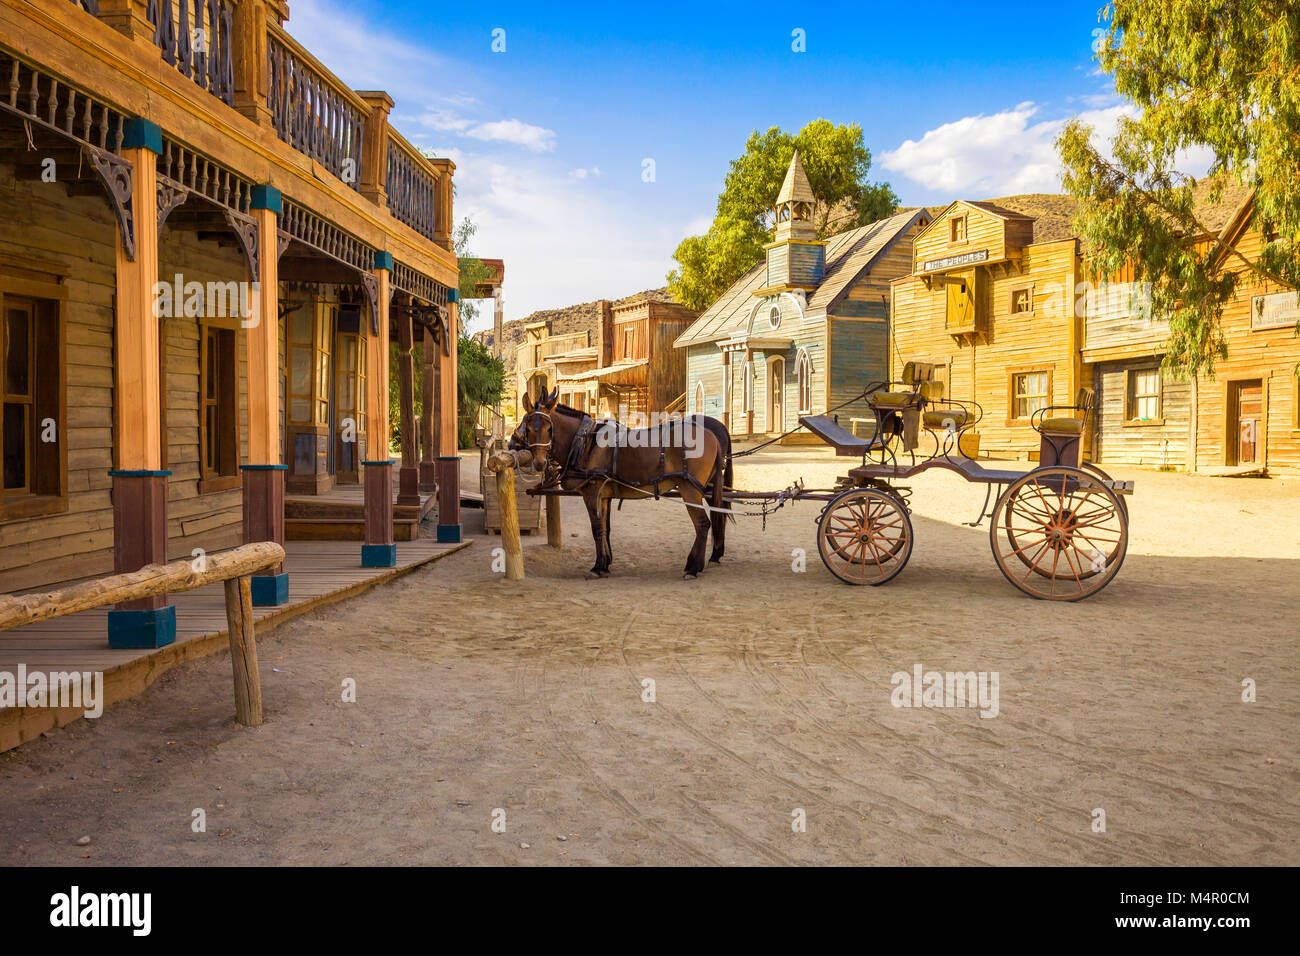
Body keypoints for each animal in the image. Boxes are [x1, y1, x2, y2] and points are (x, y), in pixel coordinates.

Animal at [509, 385, 733, 580]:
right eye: (528, 428)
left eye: (549, 428)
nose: (539, 462)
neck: (585, 443)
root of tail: (712, 435)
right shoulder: (604, 495)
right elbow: (605, 529)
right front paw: (605, 564)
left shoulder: (592, 492)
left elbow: (596, 529)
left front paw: (597, 567)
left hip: (690, 489)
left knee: (703, 524)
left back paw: (694, 567)